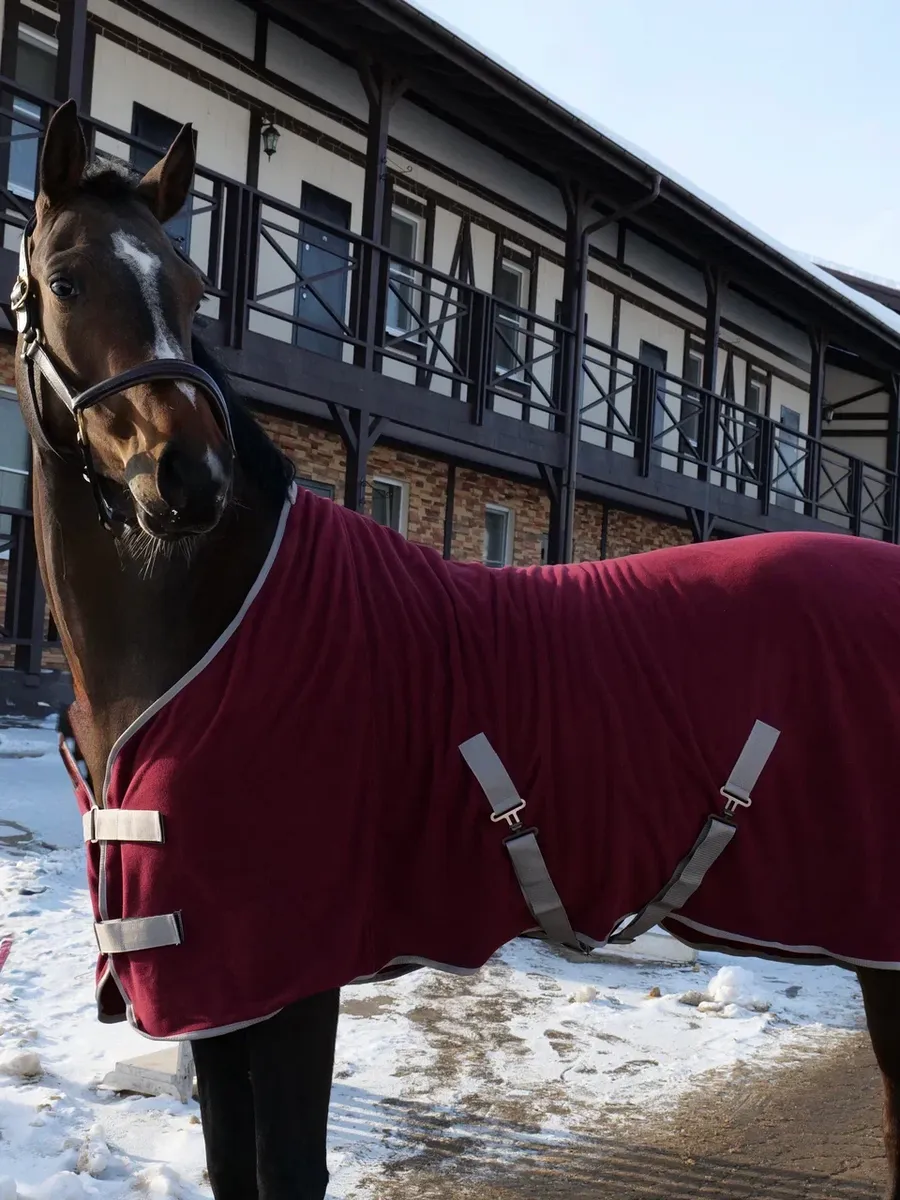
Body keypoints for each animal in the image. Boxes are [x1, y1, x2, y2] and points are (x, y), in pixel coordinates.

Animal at [15, 99, 900, 1200]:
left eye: (189, 286)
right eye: (67, 280)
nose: (189, 478)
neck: (208, 633)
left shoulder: (286, 971)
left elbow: (287, 1167)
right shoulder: (216, 987)